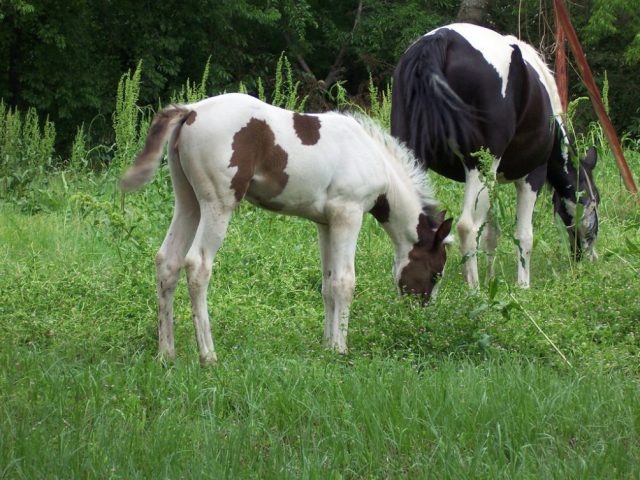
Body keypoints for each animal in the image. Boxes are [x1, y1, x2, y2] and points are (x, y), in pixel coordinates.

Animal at [119, 93, 450, 364]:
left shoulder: (326, 223)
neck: (372, 158)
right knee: (197, 265)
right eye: (436, 273)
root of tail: (190, 111)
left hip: (188, 201)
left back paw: (166, 353)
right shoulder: (348, 213)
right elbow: (345, 282)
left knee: (168, 261)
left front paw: (327, 346)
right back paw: (208, 356)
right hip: (217, 204)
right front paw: (341, 349)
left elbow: (328, 284)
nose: (420, 319)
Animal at [390, 22, 600, 286]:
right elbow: (524, 235)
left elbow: (491, 234)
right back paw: (474, 289)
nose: (588, 258)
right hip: (479, 166)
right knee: (467, 226)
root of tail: (443, 39)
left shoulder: (494, 181)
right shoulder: (532, 176)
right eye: (595, 200)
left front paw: (492, 279)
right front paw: (522, 285)